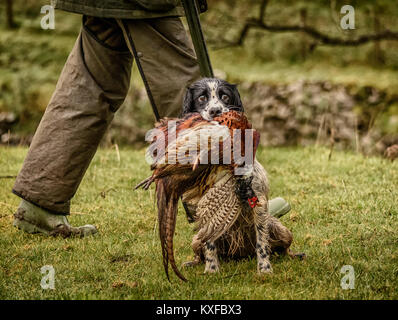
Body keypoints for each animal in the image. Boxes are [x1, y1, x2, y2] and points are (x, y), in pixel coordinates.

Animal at [179, 78, 304, 276]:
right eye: (201, 98)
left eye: (224, 96)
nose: (215, 111)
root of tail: (240, 254)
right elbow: (210, 244)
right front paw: (212, 270)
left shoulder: (258, 202)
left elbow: (262, 243)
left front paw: (265, 269)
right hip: (196, 238)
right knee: (200, 251)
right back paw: (193, 263)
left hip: (281, 229)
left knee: (283, 248)